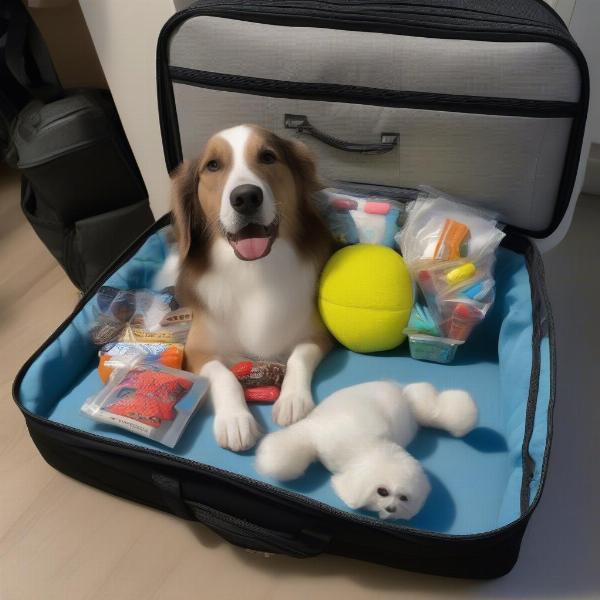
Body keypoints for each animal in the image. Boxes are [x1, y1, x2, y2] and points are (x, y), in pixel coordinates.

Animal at [162, 126, 336, 452]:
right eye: (213, 165)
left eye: (268, 156)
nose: (245, 197)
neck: (254, 271)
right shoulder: (196, 351)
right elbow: (223, 376)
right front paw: (235, 420)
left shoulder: (317, 335)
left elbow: (298, 357)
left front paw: (292, 400)